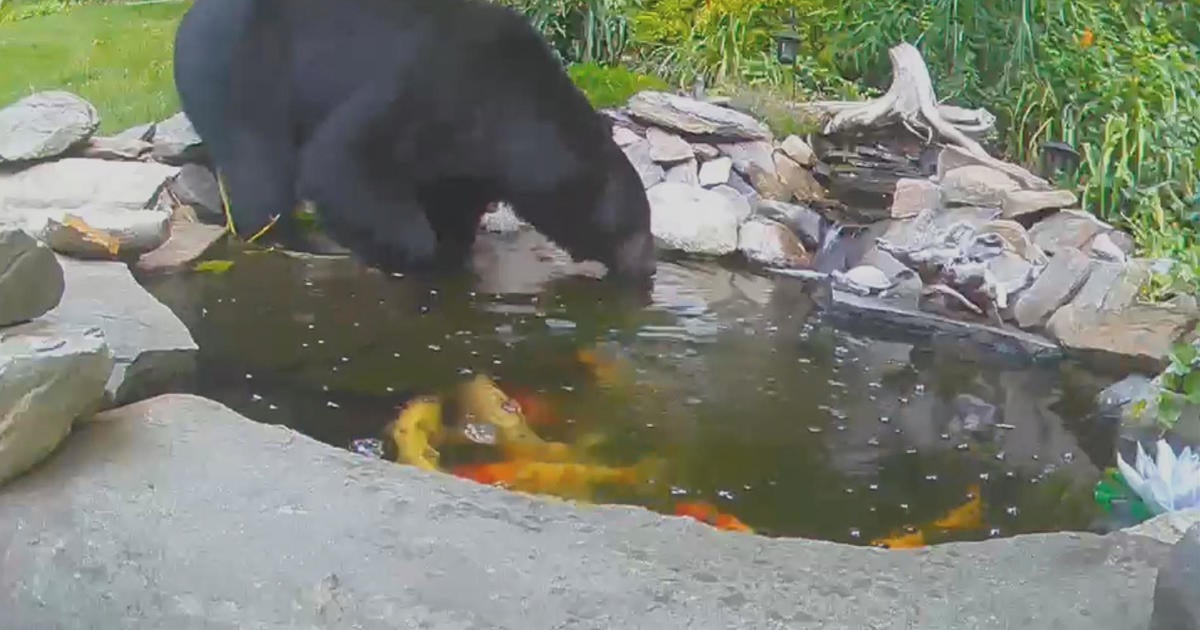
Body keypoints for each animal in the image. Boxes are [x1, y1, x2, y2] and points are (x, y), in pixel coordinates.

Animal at [174, 0, 652, 279]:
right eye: (637, 223)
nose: (647, 268)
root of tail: (188, 18)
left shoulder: (470, 154)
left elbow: (451, 197)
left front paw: (454, 252)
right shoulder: (434, 85)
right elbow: (344, 160)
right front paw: (414, 254)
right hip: (241, 70)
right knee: (260, 164)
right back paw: (295, 241)